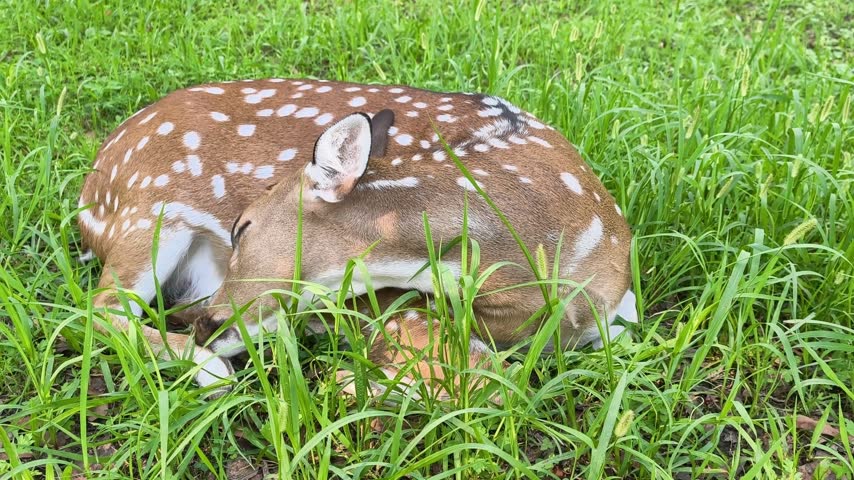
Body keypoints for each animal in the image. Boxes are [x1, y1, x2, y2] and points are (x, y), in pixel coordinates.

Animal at [78, 78, 637, 397]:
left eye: (244, 227)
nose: (208, 325)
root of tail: (91, 190)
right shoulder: (396, 303)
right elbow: (486, 380)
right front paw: (349, 380)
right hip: (151, 210)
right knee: (97, 309)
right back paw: (210, 368)